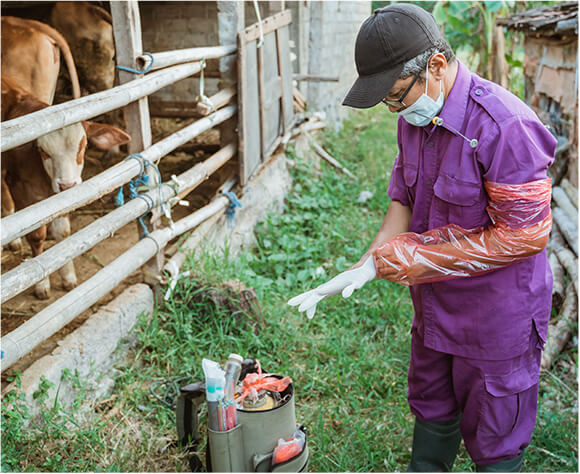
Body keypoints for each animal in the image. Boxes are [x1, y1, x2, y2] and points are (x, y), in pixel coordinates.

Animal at [1, 76, 131, 300]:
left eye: (83, 146)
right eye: (43, 151)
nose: (67, 184)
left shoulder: (59, 198)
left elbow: (63, 233)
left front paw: (68, 277)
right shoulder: (20, 189)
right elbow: (36, 236)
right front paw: (41, 284)